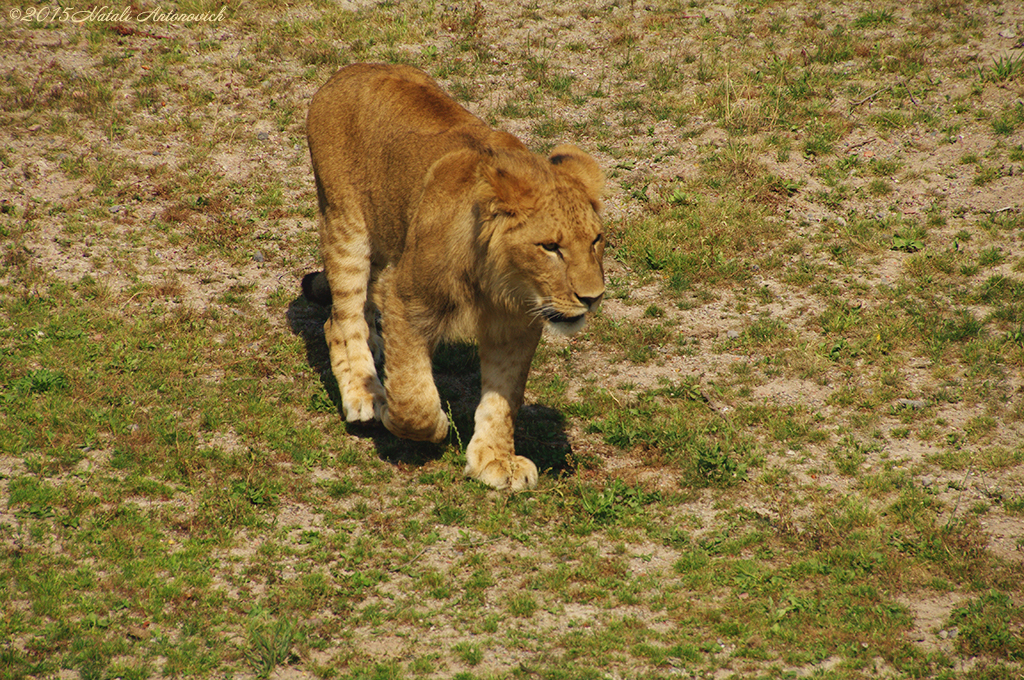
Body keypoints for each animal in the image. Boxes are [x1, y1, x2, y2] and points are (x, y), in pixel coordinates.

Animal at [303, 62, 606, 489]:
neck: (499, 282)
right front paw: (407, 417)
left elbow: (504, 396)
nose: (592, 297)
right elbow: (413, 395)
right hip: (345, 224)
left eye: (596, 240)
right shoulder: (408, 298)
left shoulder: (516, 325)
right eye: (550, 247)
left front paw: (496, 459)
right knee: (339, 319)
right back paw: (364, 394)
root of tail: (351, 68)